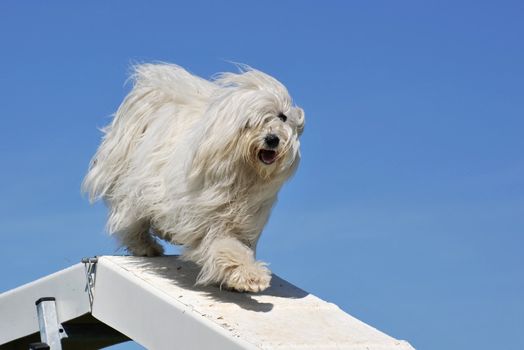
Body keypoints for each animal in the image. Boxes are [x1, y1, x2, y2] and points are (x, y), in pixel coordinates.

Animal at [83, 63, 304, 292]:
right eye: (250, 121)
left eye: (282, 116)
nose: (272, 139)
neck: (243, 173)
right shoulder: (208, 218)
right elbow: (225, 247)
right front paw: (250, 276)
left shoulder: (242, 222)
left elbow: (233, 246)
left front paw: (243, 276)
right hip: (136, 186)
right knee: (131, 221)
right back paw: (146, 246)